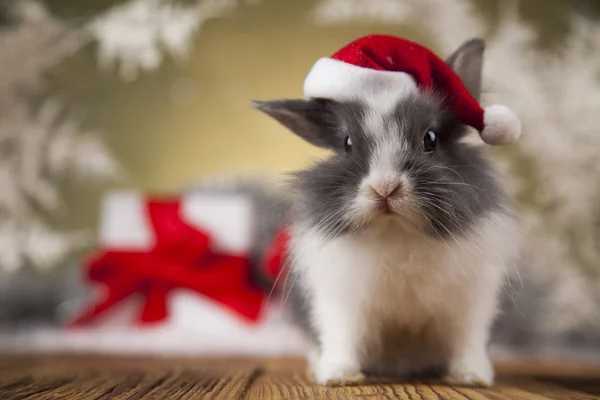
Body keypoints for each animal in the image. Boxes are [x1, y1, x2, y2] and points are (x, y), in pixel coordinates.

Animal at [253, 38, 520, 388]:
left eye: (431, 139)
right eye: (347, 143)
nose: (385, 188)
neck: (396, 230)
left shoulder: (470, 302)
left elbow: (467, 340)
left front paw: (471, 377)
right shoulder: (340, 302)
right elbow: (343, 337)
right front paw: (338, 376)